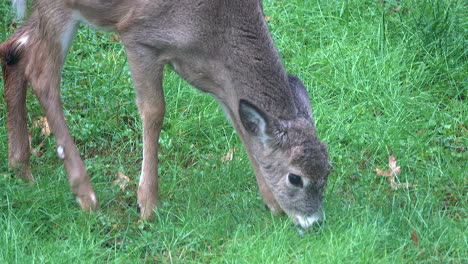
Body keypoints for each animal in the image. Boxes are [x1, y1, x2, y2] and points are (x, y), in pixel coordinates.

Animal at [0, 0, 330, 230]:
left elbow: (240, 125)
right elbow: (154, 111)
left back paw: (21, 167)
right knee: (42, 74)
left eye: (328, 171)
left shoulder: (214, 78)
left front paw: (272, 204)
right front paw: (147, 206)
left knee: (15, 49)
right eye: (295, 178)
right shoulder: (139, 36)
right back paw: (85, 194)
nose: (314, 222)